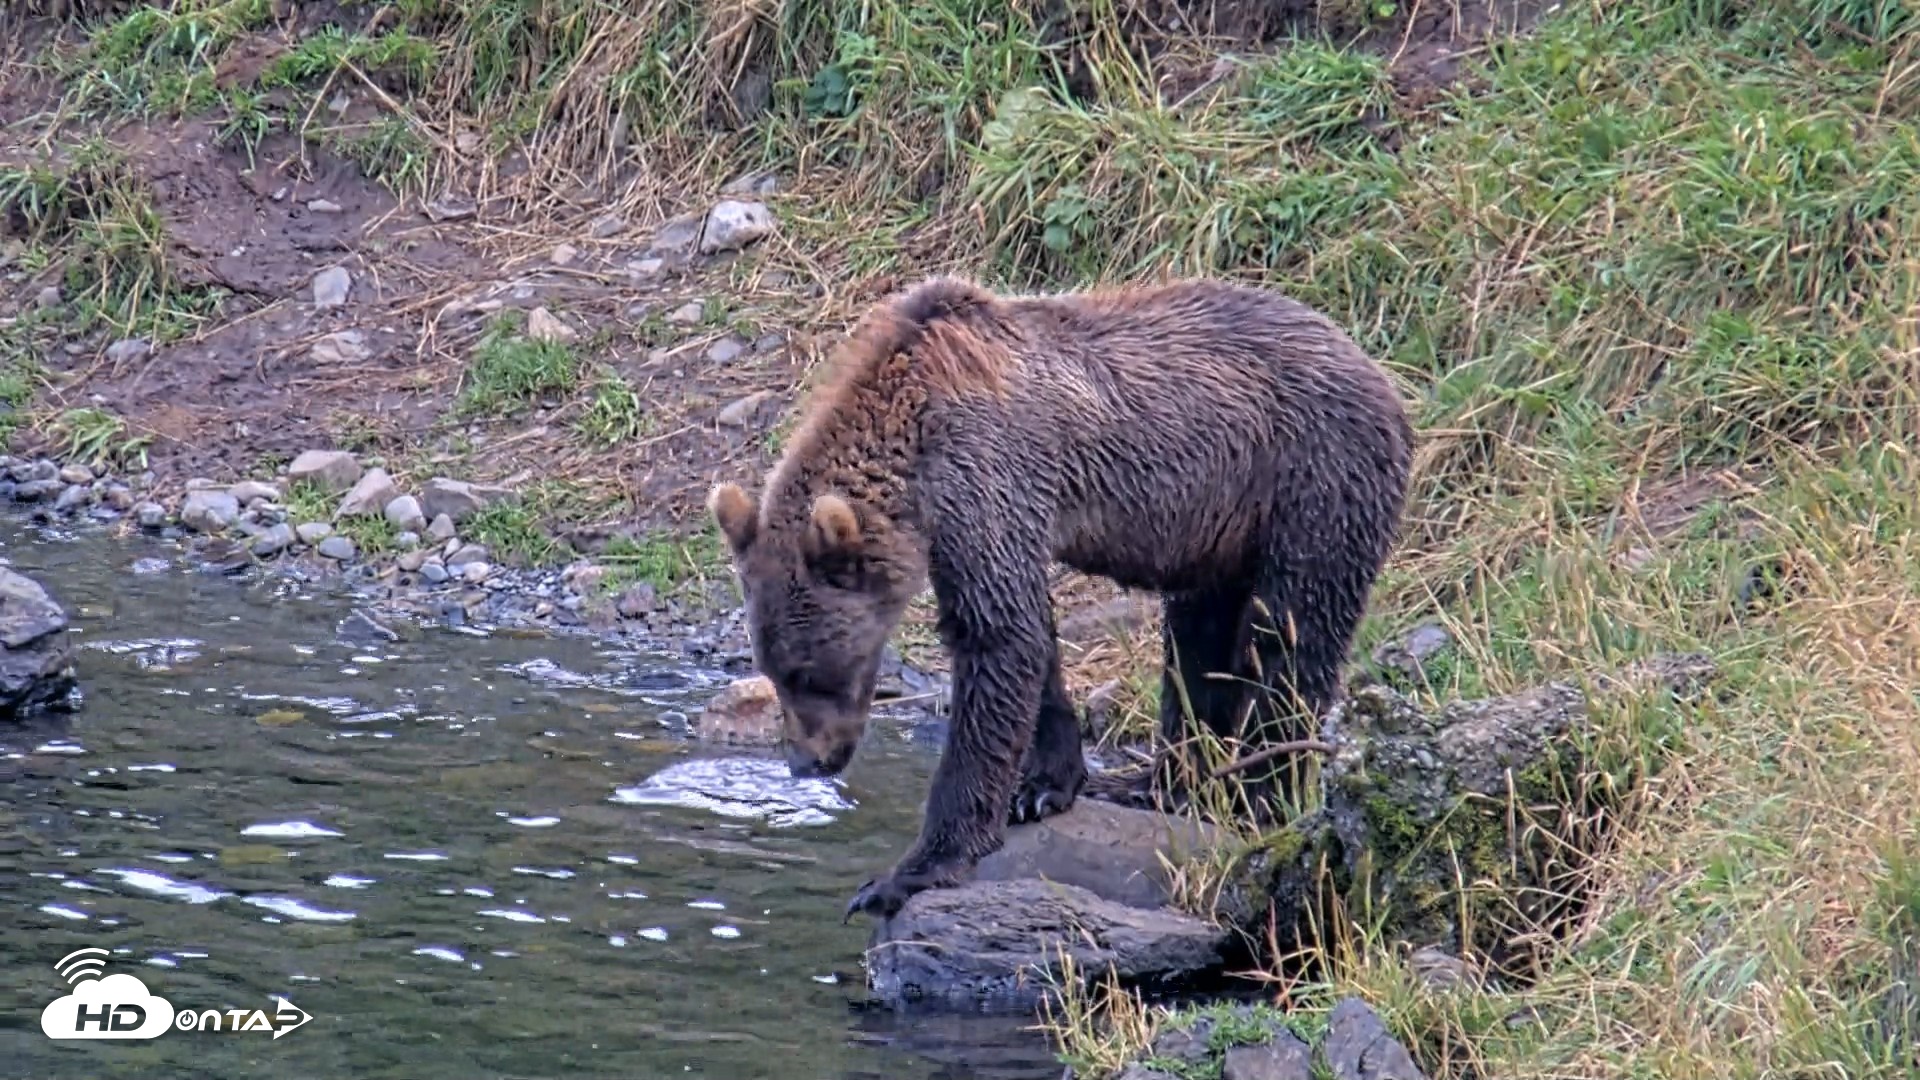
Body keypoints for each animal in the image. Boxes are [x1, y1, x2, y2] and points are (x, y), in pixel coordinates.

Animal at [707, 274, 1414, 922]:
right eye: (772, 670)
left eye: (808, 672)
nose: (807, 763)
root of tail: (1379, 372)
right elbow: (1024, 638)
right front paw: (1043, 786)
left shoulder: (982, 473)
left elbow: (997, 637)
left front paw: (906, 872)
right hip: (1221, 524)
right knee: (1198, 639)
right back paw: (1165, 784)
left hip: (1312, 479)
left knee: (1289, 637)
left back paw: (1257, 792)